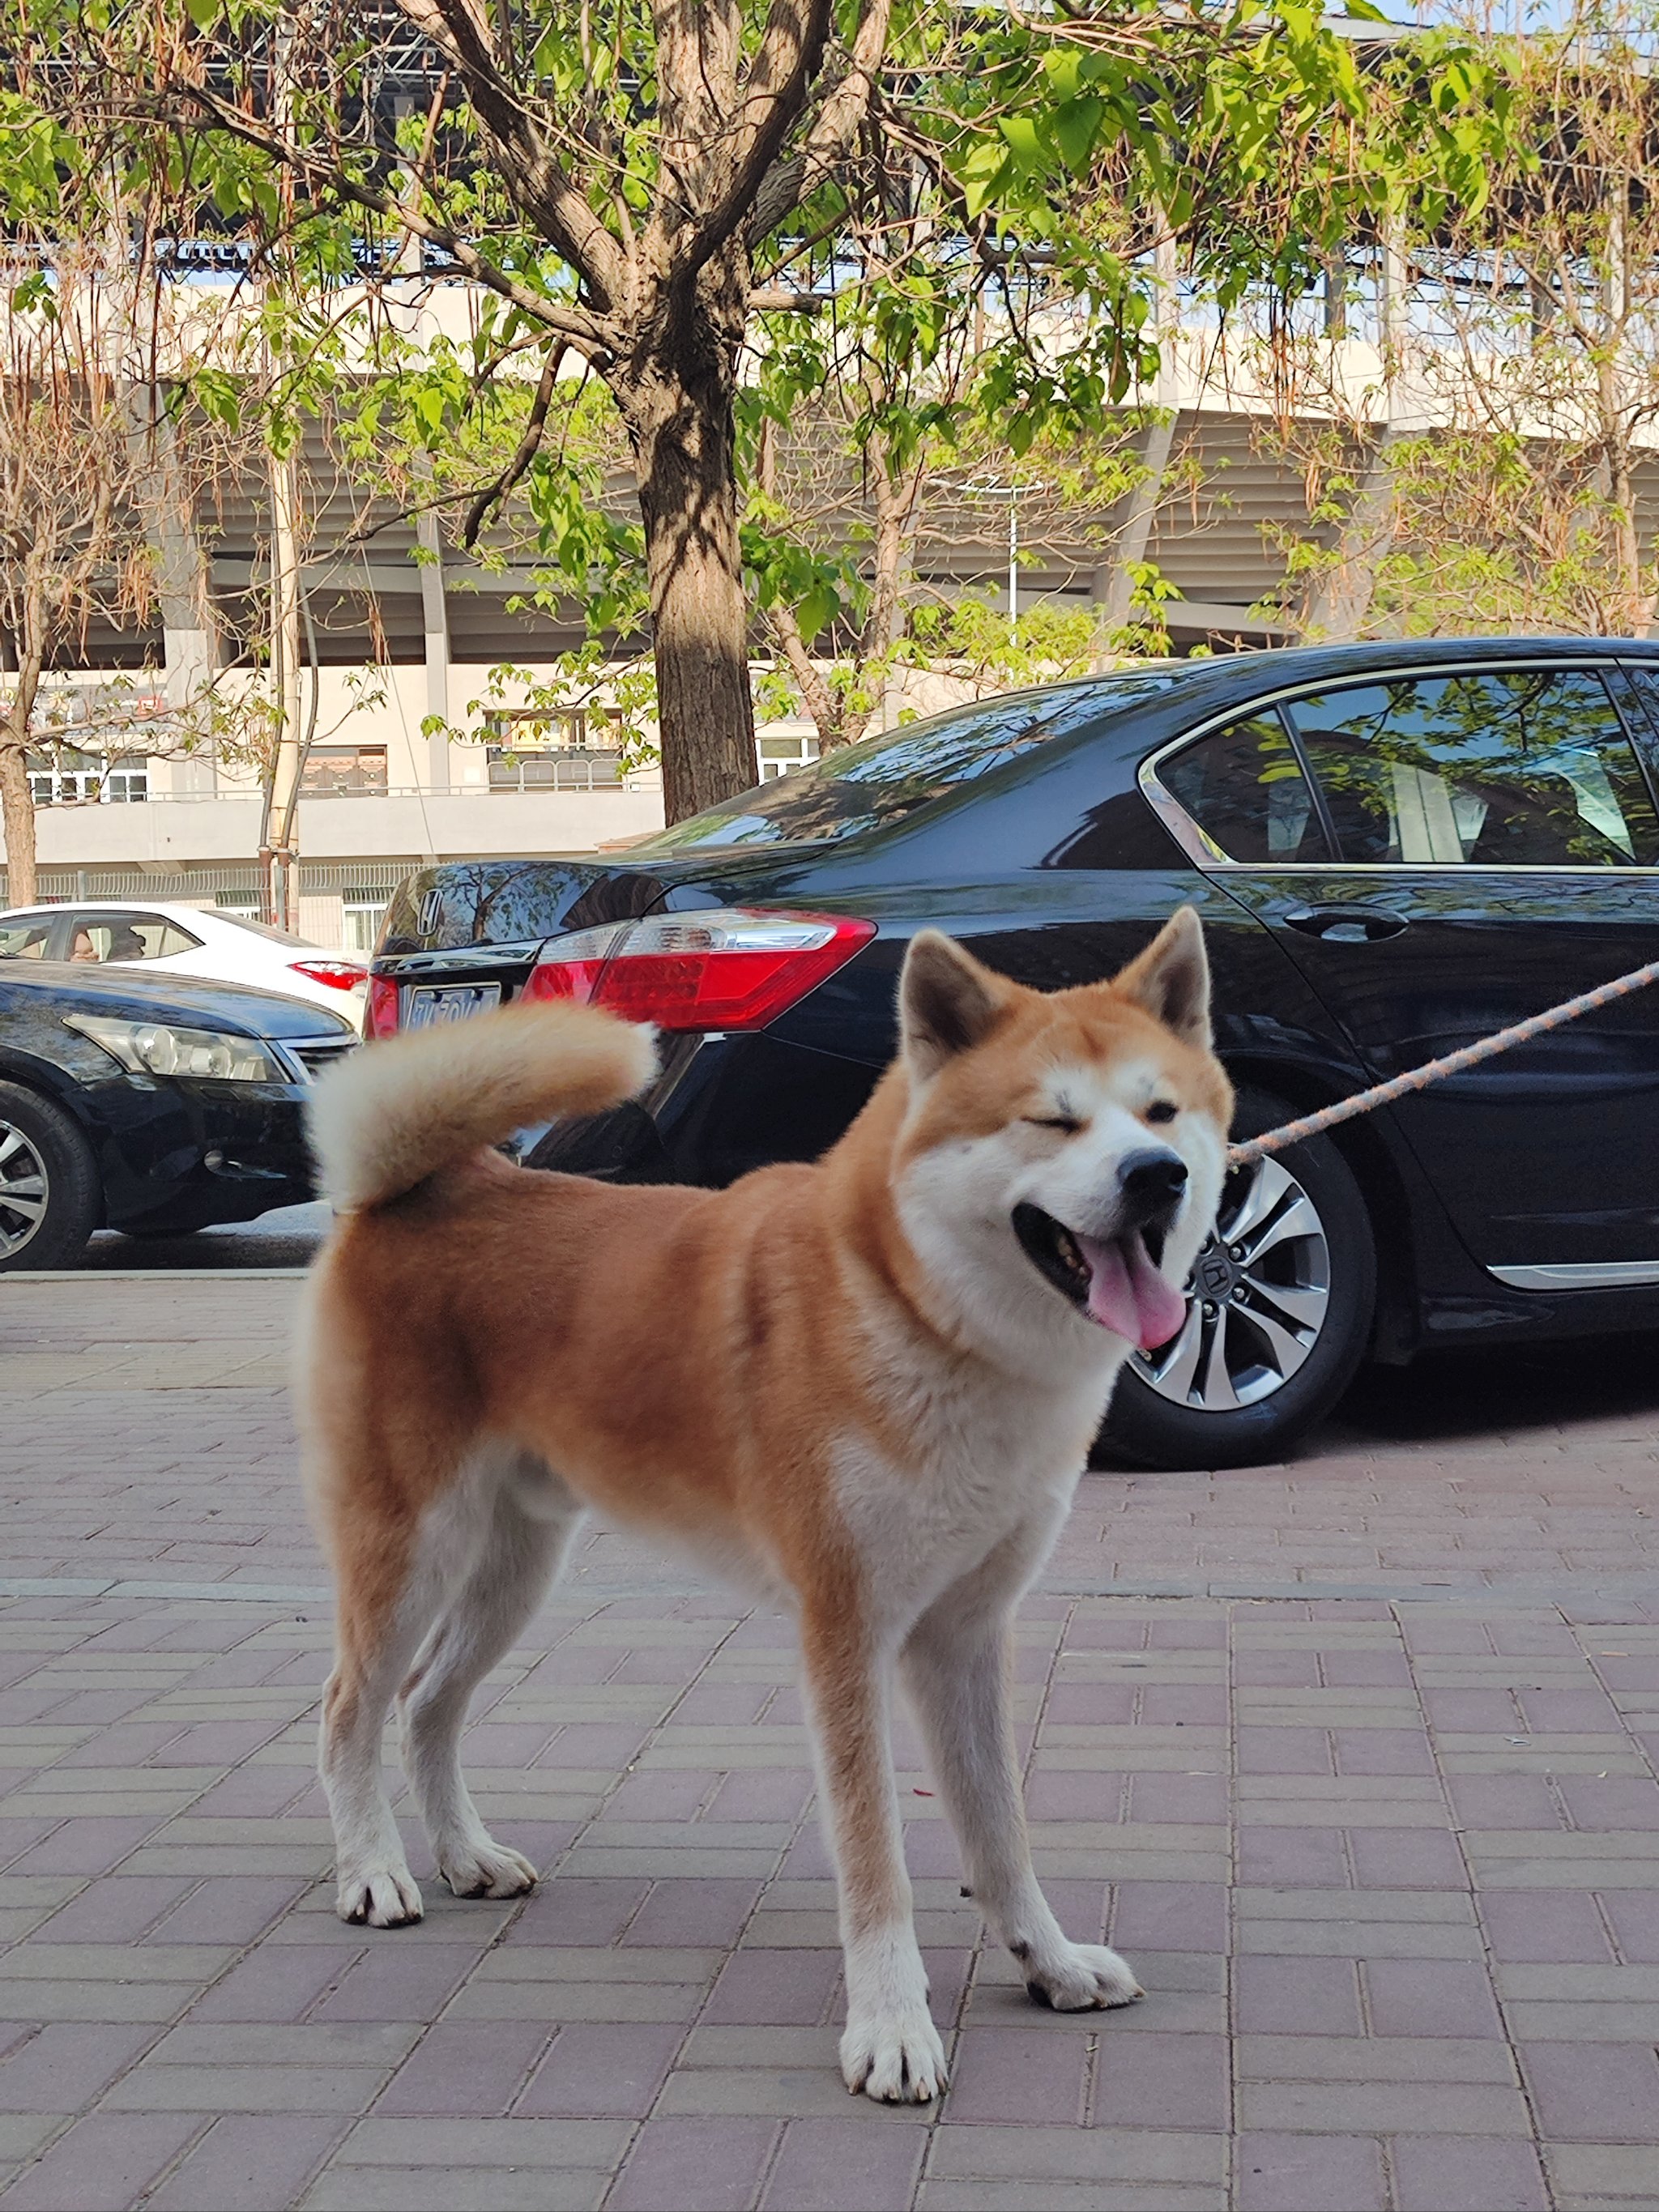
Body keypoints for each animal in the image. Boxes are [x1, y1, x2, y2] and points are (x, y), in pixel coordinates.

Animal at [298, 911, 1239, 2105]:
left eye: (1162, 1113)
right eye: (1051, 1118)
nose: (1154, 1175)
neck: (917, 1314)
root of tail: (424, 1188)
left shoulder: (965, 1637)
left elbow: (1000, 1834)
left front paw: (1049, 1961)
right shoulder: (846, 1634)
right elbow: (877, 1858)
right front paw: (890, 2026)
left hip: (515, 1571)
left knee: (426, 1706)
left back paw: (466, 1855)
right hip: (412, 1550)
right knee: (349, 1711)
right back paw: (373, 1872)